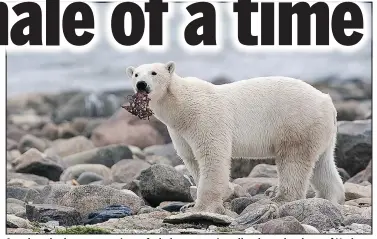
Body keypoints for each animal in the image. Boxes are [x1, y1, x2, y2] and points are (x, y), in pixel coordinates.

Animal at [125, 61, 344, 215]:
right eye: (136, 74)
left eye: (153, 72)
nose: (141, 85)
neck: (182, 107)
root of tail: (327, 101)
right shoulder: (179, 132)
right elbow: (192, 159)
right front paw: (193, 204)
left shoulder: (205, 119)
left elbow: (212, 156)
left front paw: (202, 207)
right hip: (320, 130)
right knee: (323, 164)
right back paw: (329, 198)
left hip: (297, 122)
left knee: (293, 161)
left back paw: (280, 199)